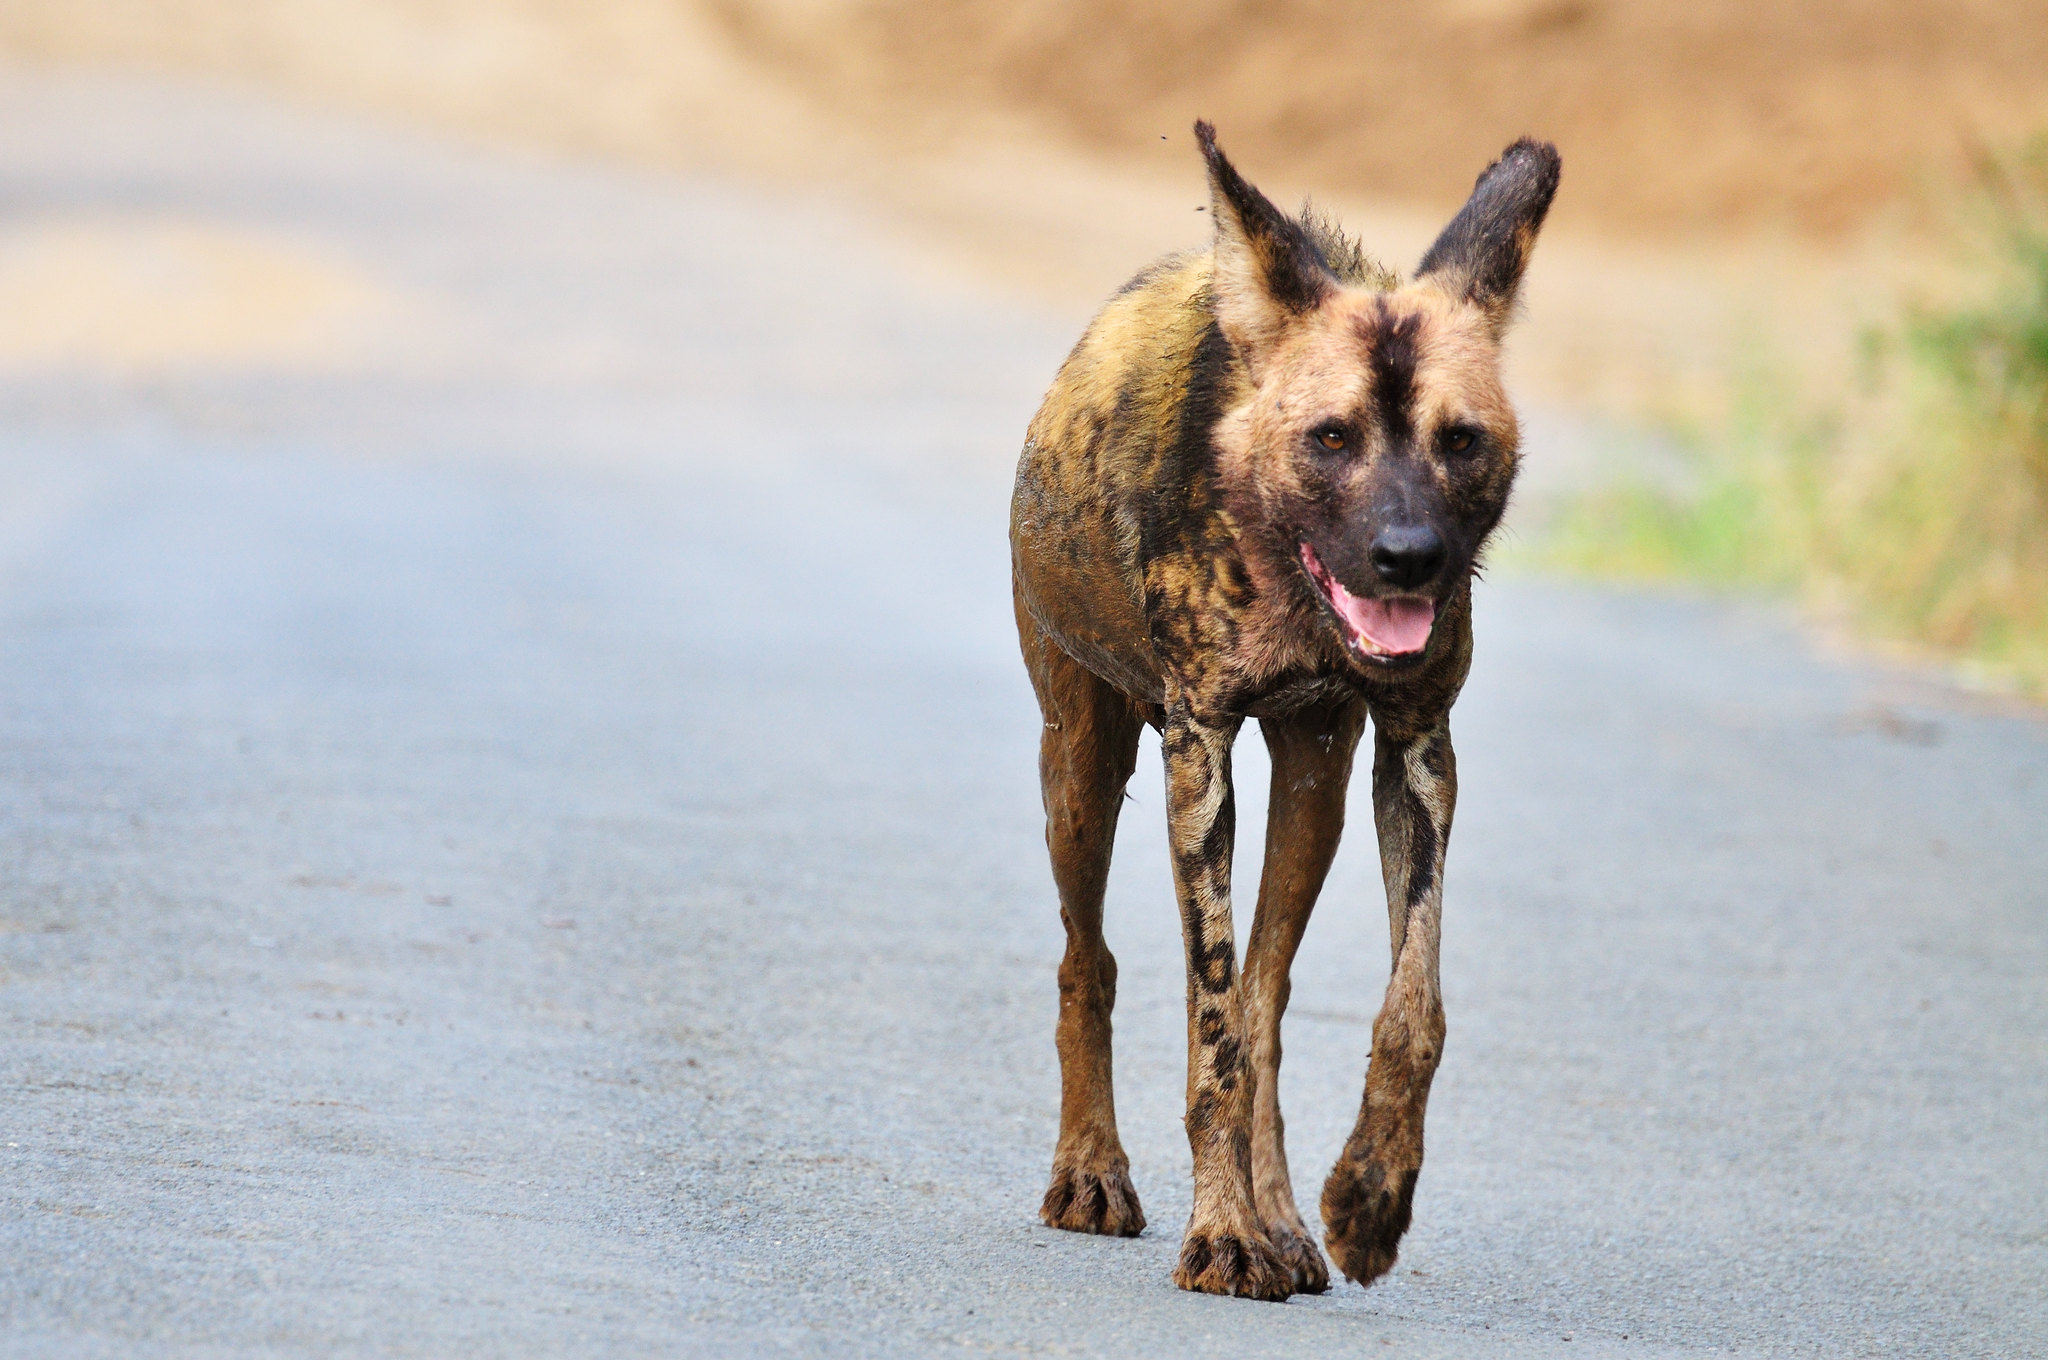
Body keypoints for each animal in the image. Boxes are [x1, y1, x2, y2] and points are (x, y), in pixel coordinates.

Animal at [1011, 124, 1564, 1294]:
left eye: (1459, 440)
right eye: (1330, 438)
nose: (1409, 557)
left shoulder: (1414, 750)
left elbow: (1406, 1009)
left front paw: (1367, 1199)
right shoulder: (1198, 748)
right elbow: (1211, 1024)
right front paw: (1218, 1234)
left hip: (1312, 790)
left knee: (1264, 996)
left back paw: (1281, 1223)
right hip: (1080, 775)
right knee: (1093, 966)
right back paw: (1096, 1176)